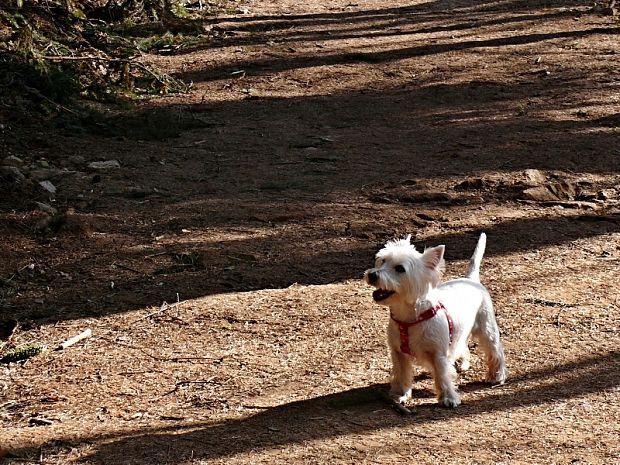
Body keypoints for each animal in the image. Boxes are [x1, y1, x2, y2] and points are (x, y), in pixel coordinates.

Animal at [366, 232, 506, 406]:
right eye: (383, 260)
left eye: (400, 269)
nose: (372, 275)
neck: (409, 318)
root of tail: (471, 280)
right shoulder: (398, 352)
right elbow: (402, 373)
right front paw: (401, 394)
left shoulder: (438, 352)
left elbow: (442, 375)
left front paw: (449, 398)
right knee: (463, 346)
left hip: (487, 328)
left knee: (495, 350)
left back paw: (497, 376)